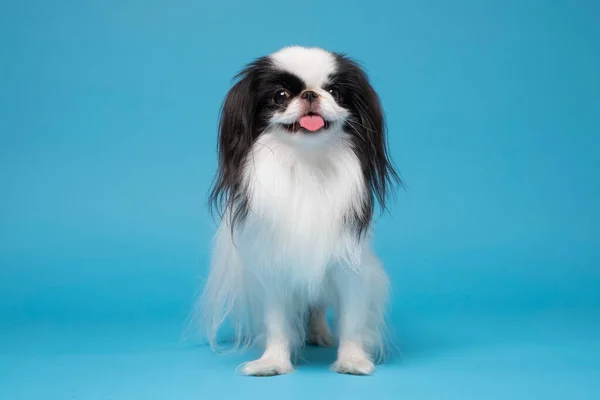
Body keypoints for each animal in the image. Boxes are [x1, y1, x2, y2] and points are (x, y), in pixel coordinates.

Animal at [199, 46, 400, 376]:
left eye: (334, 92)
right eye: (280, 95)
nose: (310, 94)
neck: (307, 160)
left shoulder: (350, 266)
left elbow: (353, 320)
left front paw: (353, 360)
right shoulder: (276, 267)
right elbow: (278, 322)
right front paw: (273, 362)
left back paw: (318, 333)